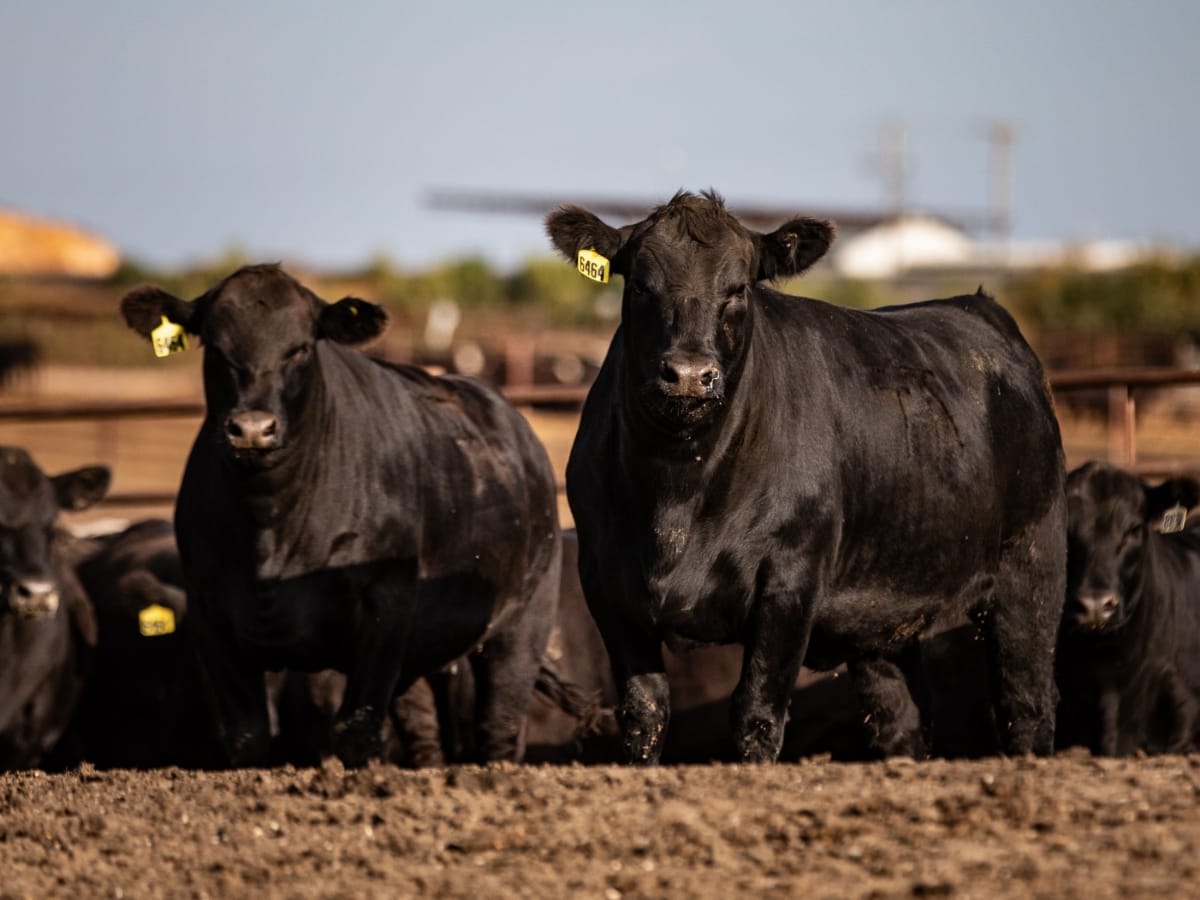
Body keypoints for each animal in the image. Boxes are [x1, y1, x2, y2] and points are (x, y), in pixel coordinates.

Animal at [119, 262, 559, 768]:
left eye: (301, 347)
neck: (269, 523)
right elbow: (248, 738)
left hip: (521, 626)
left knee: (498, 730)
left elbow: (356, 734)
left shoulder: (385, 612)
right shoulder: (212, 618)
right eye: (215, 345)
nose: (252, 429)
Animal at [549, 194, 1065, 763]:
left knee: (1027, 702)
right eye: (640, 285)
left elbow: (756, 716)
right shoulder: (606, 584)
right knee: (902, 719)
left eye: (739, 288)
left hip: (1031, 567)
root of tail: (980, 310)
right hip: (885, 612)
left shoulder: (791, 580)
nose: (688, 375)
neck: (676, 493)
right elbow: (644, 717)